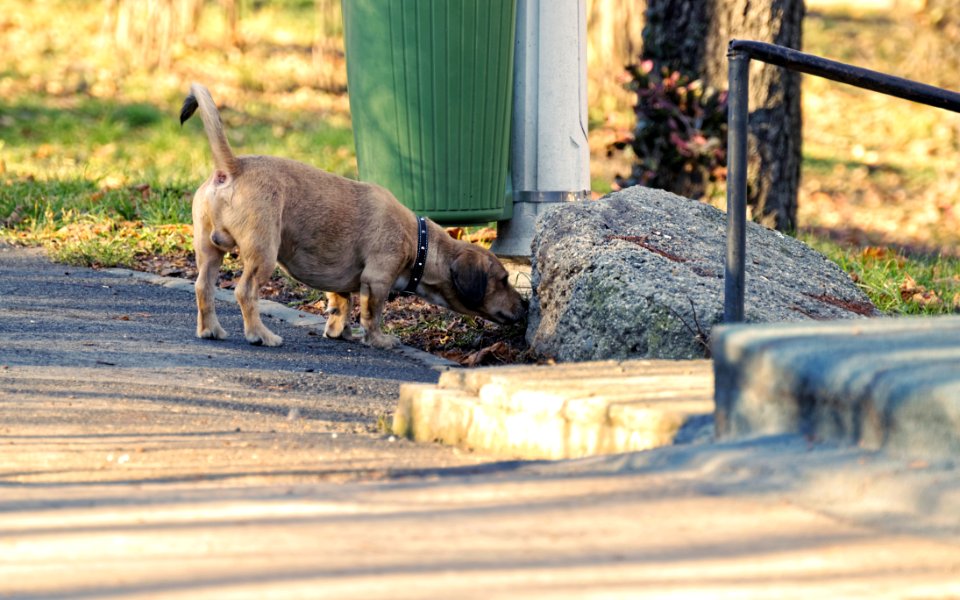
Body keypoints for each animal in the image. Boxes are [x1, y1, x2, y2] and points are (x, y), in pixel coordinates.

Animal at [180, 82, 524, 350]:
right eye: (504, 280)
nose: (526, 305)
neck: (421, 243)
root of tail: (232, 168)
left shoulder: (342, 285)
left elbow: (340, 305)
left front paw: (339, 332)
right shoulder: (378, 281)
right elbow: (373, 315)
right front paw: (379, 340)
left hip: (209, 252)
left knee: (203, 288)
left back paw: (211, 330)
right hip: (262, 255)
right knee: (245, 293)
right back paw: (260, 335)